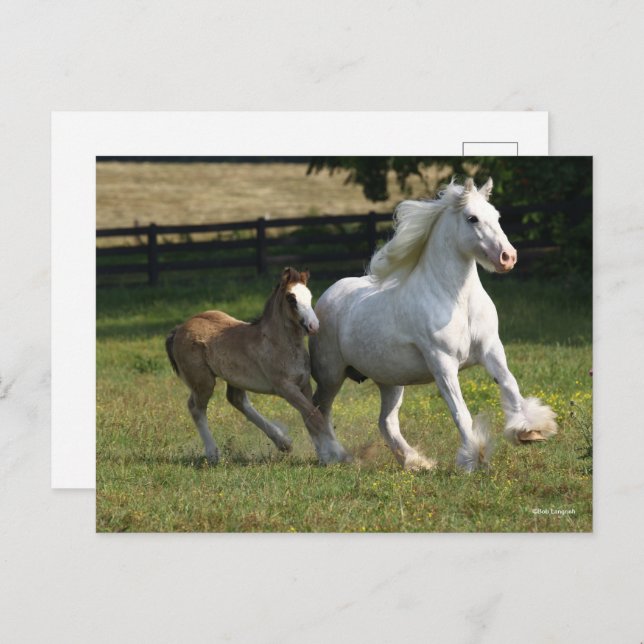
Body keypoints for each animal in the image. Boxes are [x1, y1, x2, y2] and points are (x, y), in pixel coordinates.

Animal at [165, 267, 349, 464]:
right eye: (291, 298)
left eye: (309, 295)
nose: (314, 325)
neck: (279, 343)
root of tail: (179, 329)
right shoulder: (285, 387)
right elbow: (316, 417)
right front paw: (340, 454)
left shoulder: (303, 384)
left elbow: (311, 416)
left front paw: (325, 455)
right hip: (203, 382)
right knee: (196, 407)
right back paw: (213, 453)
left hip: (234, 378)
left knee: (236, 399)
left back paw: (283, 442)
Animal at [309, 178, 557, 471]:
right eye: (472, 218)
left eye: (496, 216)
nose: (508, 257)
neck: (457, 301)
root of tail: (326, 296)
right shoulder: (443, 362)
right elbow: (460, 412)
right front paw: (474, 456)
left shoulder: (491, 349)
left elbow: (510, 385)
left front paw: (530, 430)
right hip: (330, 375)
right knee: (318, 410)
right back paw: (333, 456)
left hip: (390, 381)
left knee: (386, 422)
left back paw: (416, 462)